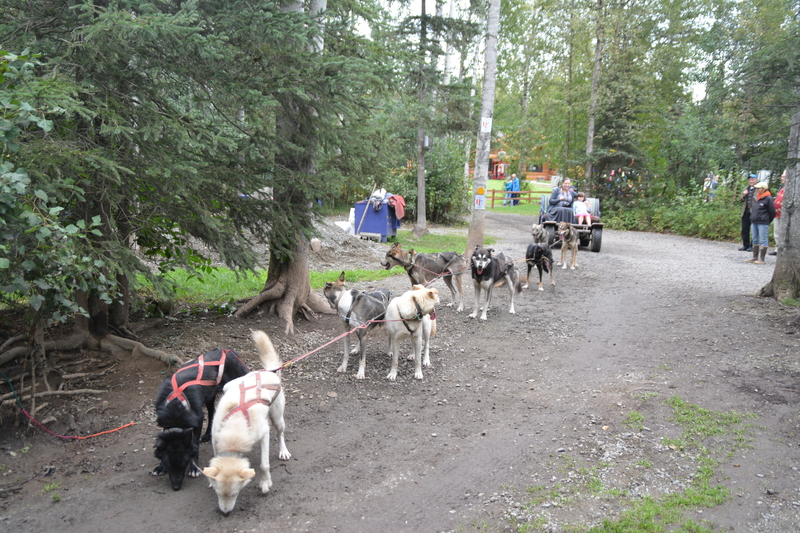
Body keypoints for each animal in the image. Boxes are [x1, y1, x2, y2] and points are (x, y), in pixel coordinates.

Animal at [152, 348, 248, 488]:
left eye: (184, 463)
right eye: (169, 464)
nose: (176, 487)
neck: (176, 407)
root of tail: (228, 351)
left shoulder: (197, 419)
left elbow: (195, 443)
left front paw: (194, 468)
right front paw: (160, 467)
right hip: (209, 395)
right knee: (212, 412)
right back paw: (208, 435)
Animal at [203, 330, 290, 512]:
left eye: (235, 493)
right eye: (217, 493)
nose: (225, 513)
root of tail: (268, 372)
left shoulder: (264, 434)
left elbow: (264, 465)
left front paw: (265, 483)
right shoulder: (215, 438)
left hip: (277, 417)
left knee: (280, 433)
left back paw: (283, 451)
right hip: (228, 385)